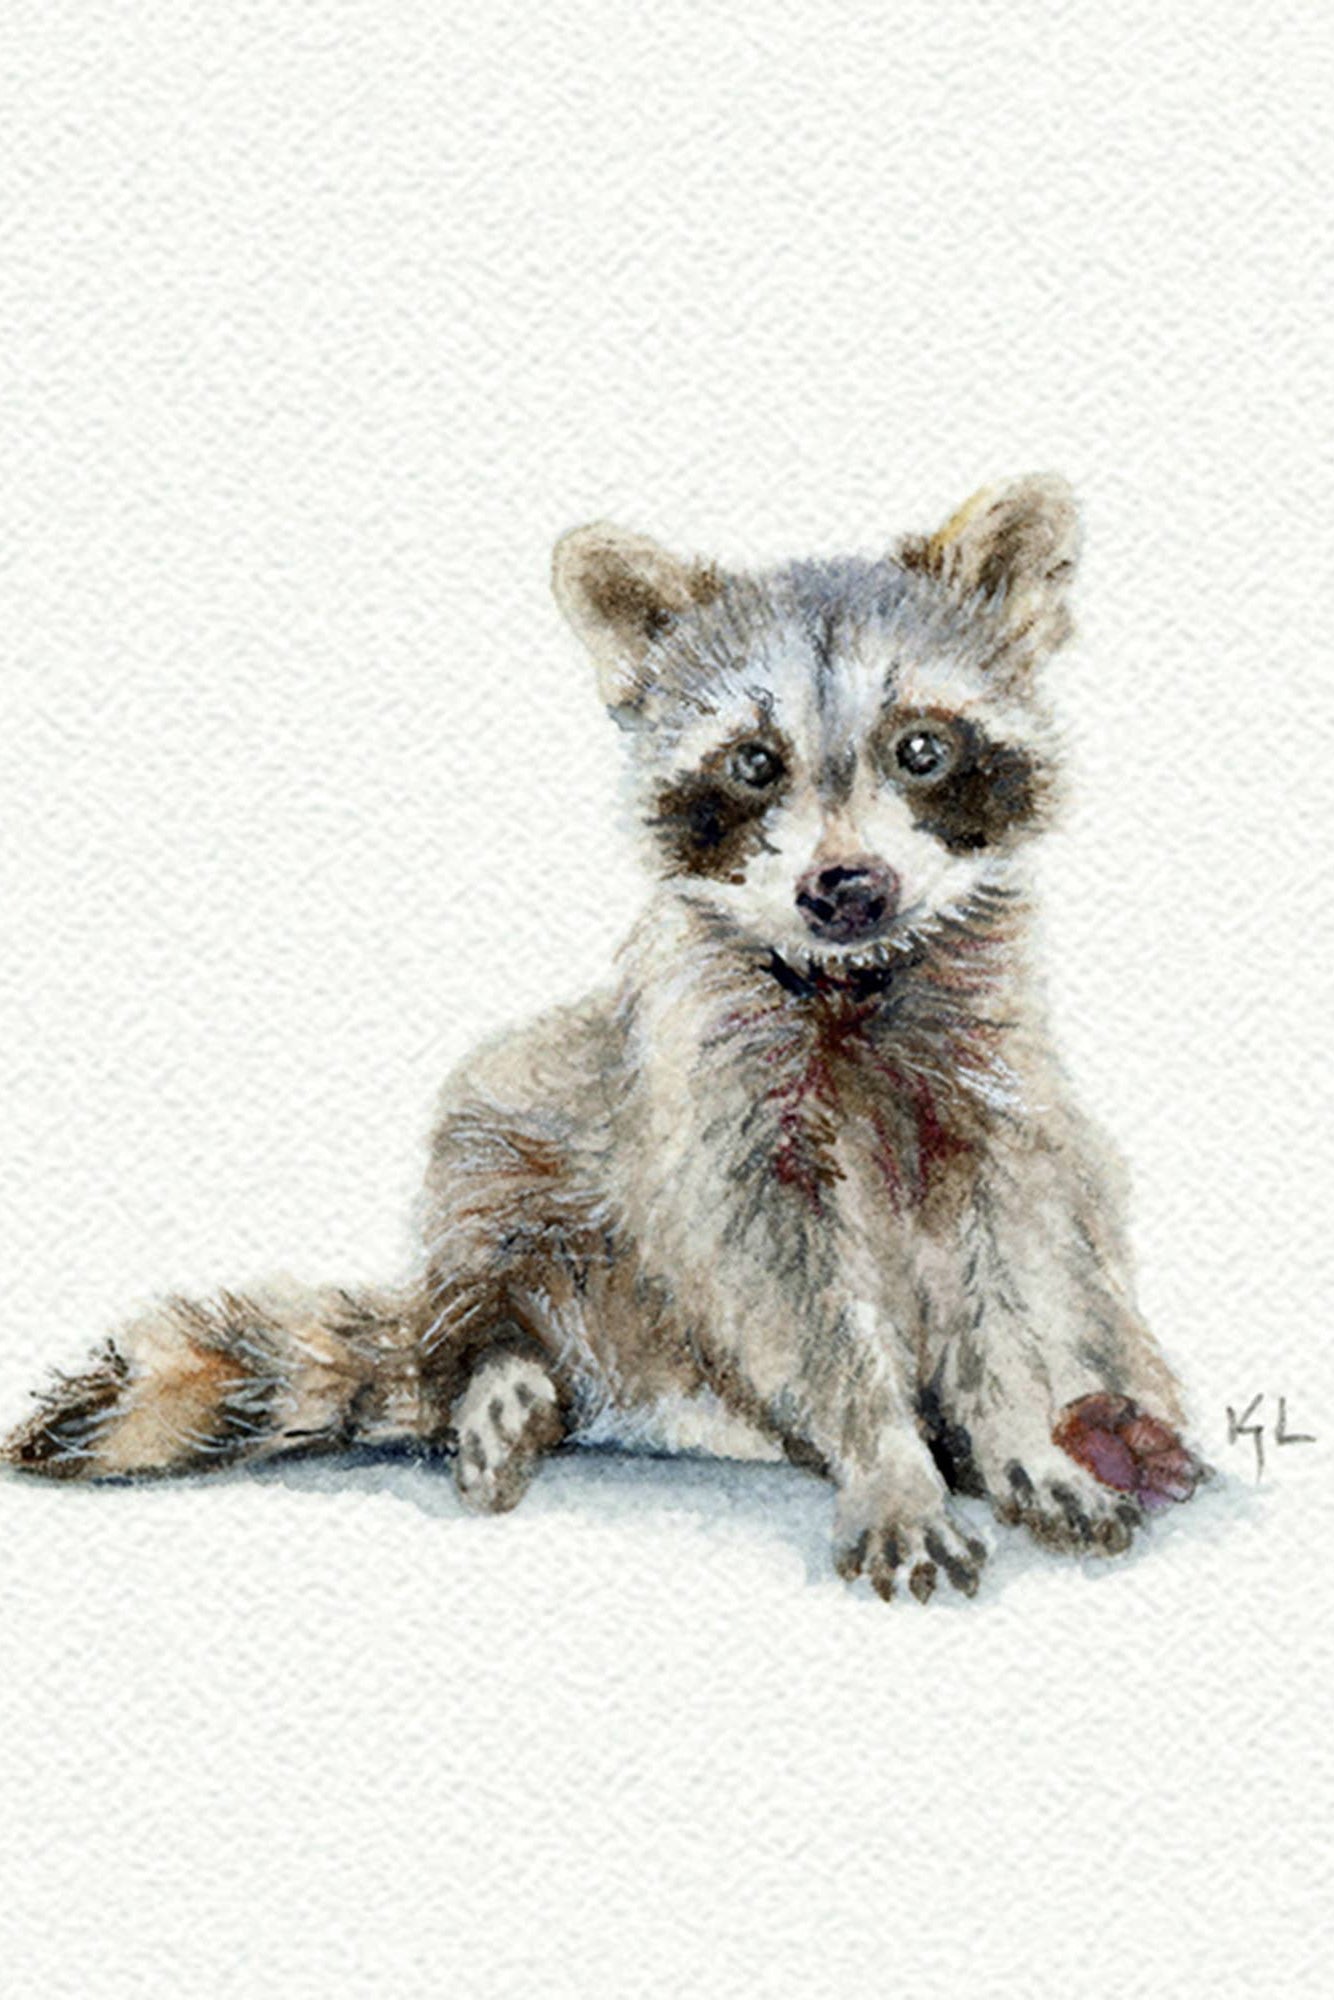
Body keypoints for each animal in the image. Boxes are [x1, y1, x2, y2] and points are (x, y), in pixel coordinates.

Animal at [5, 475, 1204, 1601]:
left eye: (922, 748)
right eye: (753, 763)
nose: (847, 887)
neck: (850, 979)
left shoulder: (993, 1078)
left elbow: (1020, 1255)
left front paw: (1016, 1428)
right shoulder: (704, 1091)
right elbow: (789, 1288)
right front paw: (888, 1460)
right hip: (527, 1135)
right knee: (487, 1198)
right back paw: (504, 1366)